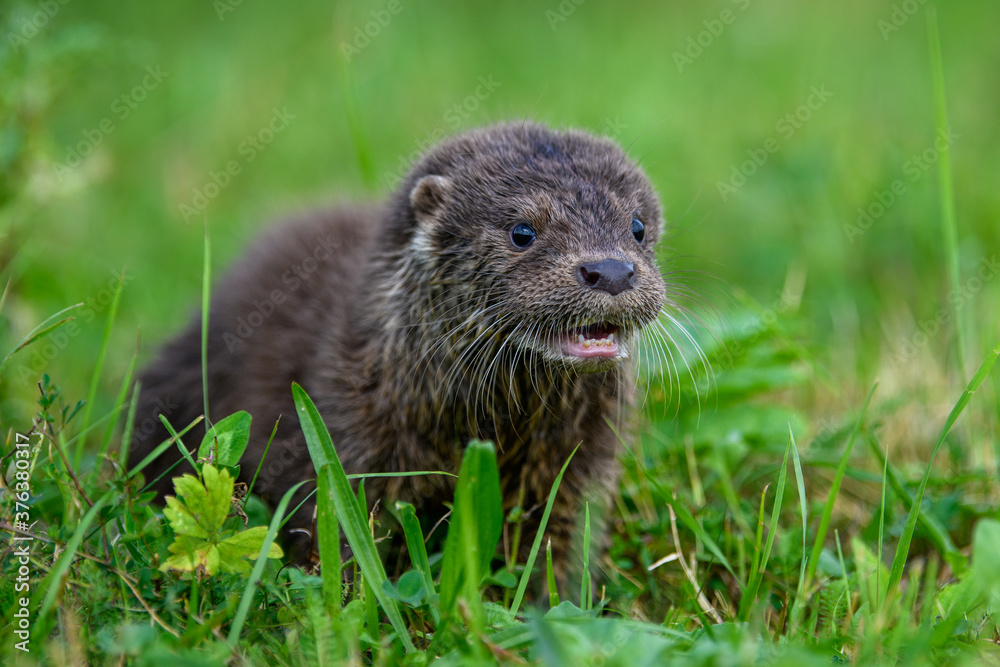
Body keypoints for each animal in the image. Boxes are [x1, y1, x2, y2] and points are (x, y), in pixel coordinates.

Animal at [129, 121, 668, 588]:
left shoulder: (580, 468)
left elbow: (561, 548)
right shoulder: (346, 442)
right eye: (522, 231)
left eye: (638, 227)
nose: (611, 270)